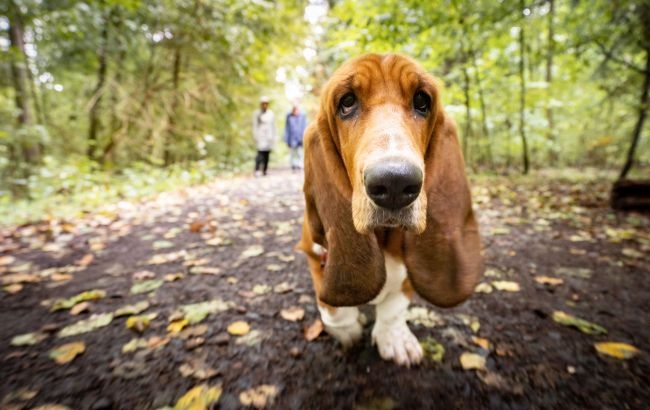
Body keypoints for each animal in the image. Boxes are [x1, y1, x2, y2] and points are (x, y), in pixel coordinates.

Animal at [294, 52, 480, 366]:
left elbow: (395, 305)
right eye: (347, 102)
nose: (395, 182)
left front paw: (395, 339)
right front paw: (348, 331)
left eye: (422, 101)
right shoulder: (315, 251)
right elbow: (333, 308)